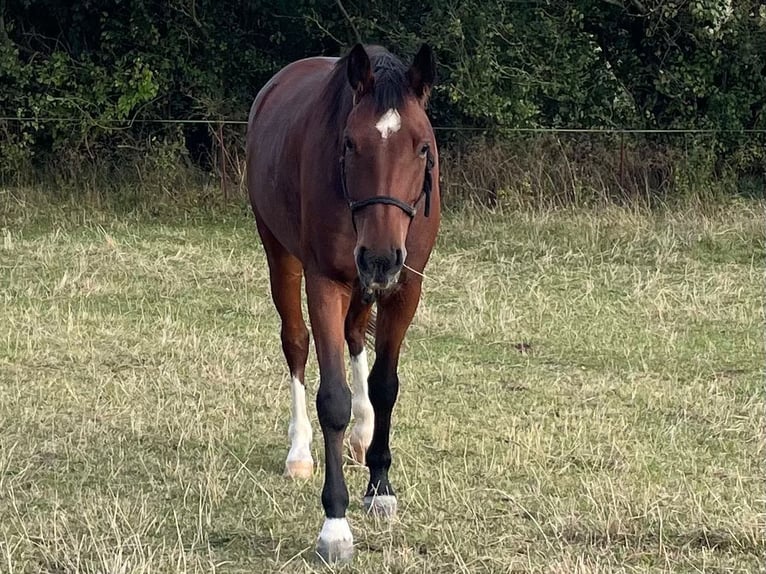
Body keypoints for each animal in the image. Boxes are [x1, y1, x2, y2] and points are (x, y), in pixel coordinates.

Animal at [246, 46, 438, 568]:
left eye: (422, 148)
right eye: (350, 144)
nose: (380, 256)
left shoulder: (405, 286)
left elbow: (386, 385)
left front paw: (380, 487)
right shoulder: (325, 283)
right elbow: (331, 397)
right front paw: (335, 526)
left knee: (355, 336)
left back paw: (363, 433)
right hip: (281, 254)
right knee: (296, 344)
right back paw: (299, 453)